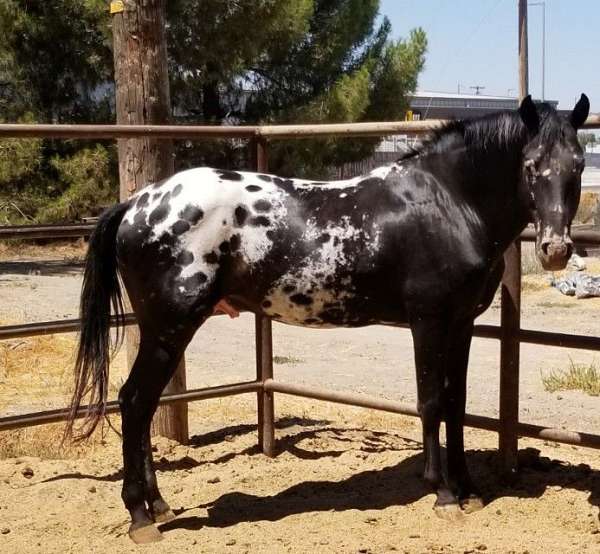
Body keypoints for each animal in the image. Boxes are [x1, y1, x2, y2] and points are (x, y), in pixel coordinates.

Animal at [67, 94, 592, 540]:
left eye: (579, 164)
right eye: (531, 165)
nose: (556, 250)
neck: (449, 202)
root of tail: (137, 204)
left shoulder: (462, 324)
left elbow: (456, 403)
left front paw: (468, 490)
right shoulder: (428, 321)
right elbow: (430, 403)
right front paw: (443, 493)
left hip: (166, 332)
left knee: (143, 405)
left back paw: (158, 506)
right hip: (167, 329)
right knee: (134, 402)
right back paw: (140, 516)